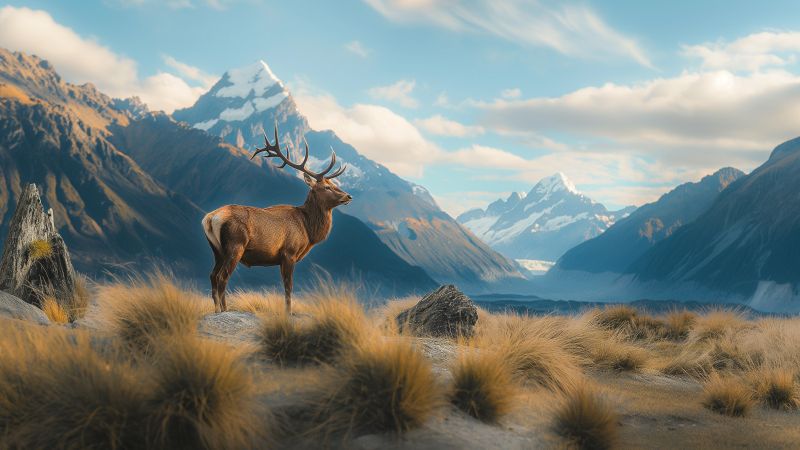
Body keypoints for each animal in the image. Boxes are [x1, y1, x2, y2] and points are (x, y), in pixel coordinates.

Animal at [201, 125, 351, 314]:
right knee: (222, 277)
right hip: (235, 245)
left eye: (334, 184)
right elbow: (288, 286)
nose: (348, 196)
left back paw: (217, 309)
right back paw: (224, 310)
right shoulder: (289, 252)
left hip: (217, 250)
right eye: (326, 187)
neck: (308, 230)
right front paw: (288, 312)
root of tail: (209, 218)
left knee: (212, 275)